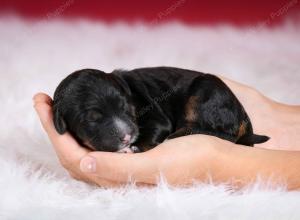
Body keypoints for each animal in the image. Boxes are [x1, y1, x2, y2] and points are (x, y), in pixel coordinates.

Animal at [52, 66, 270, 153]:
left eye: (124, 106)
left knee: (221, 133)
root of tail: (243, 115)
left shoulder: (158, 119)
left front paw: (137, 147)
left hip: (206, 89)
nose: (126, 136)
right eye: (92, 119)